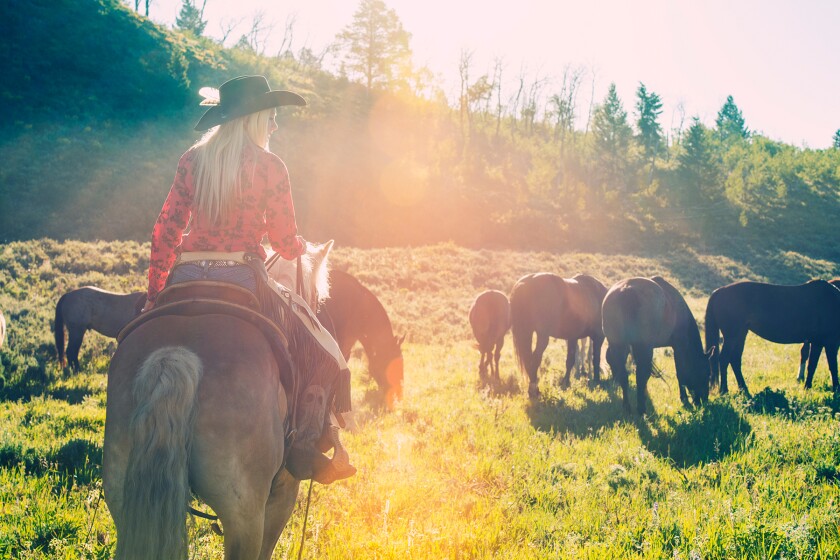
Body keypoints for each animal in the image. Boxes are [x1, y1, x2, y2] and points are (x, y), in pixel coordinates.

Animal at [600, 276, 712, 416]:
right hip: (643, 347)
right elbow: (680, 372)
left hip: (618, 344)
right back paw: (641, 409)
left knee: (624, 375)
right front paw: (684, 400)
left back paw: (627, 407)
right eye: (707, 373)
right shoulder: (678, 346)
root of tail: (626, 291)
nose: (703, 401)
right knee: (641, 375)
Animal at [704, 278, 840, 394]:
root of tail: (719, 291)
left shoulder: (818, 343)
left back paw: (743, 389)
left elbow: (812, 366)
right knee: (724, 359)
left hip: (740, 334)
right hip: (733, 335)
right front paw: (835, 390)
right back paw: (724, 390)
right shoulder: (829, 343)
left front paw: (807, 387)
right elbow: (832, 367)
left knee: (734, 360)